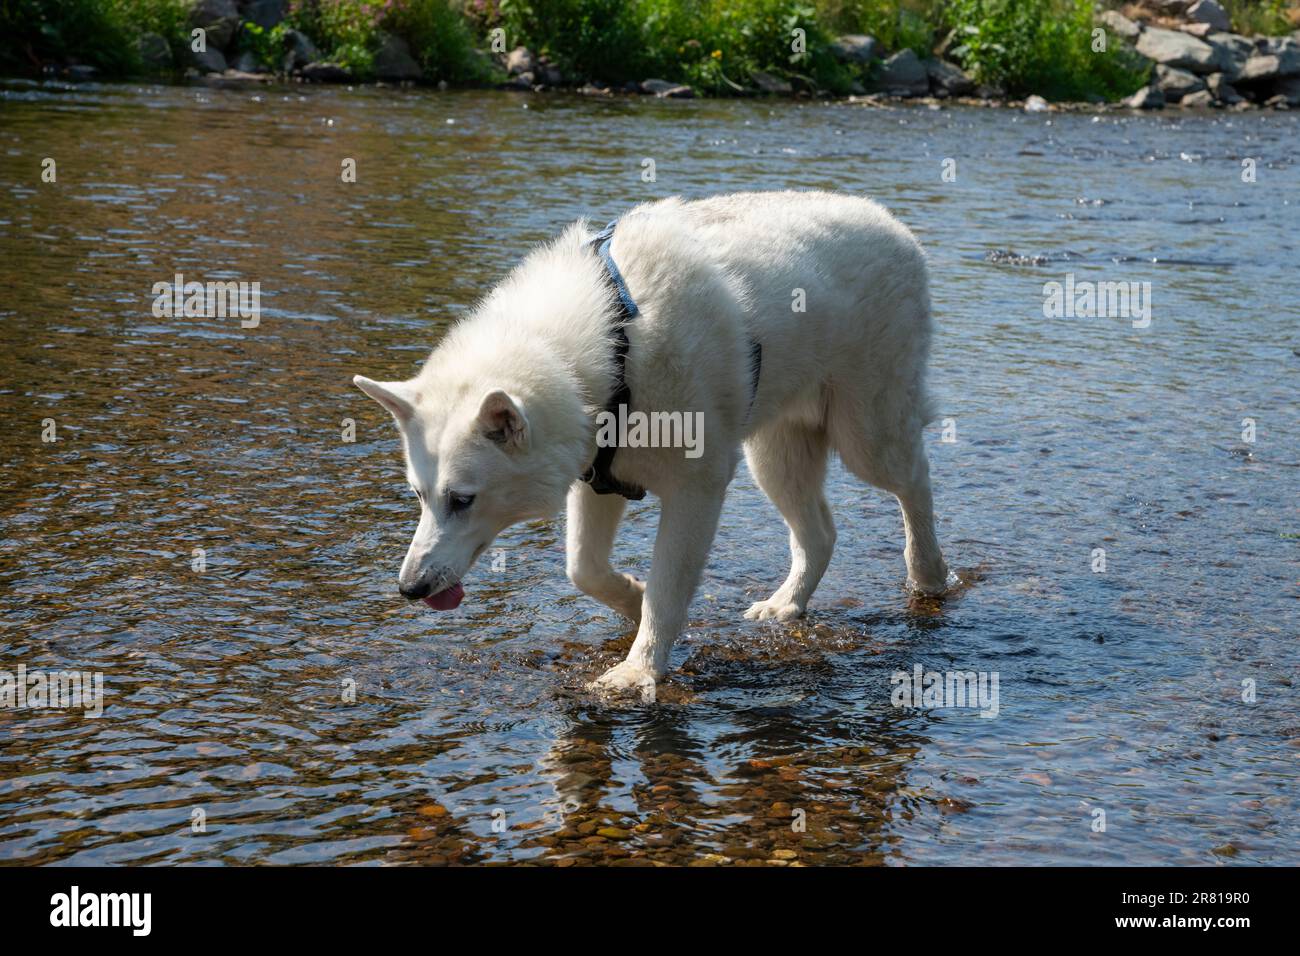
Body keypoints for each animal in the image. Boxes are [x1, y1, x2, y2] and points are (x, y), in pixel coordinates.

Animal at [353, 191, 946, 691]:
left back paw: (929, 574)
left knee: (915, 481)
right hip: (775, 458)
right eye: (419, 496)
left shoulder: (697, 489)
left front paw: (639, 670)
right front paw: (633, 603)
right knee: (819, 534)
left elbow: (668, 589)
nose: (410, 589)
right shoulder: (597, 478)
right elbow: (584, 569)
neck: (616, 343)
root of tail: (894, 224)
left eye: (463, 500)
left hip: (866, 436)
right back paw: (785, 605)